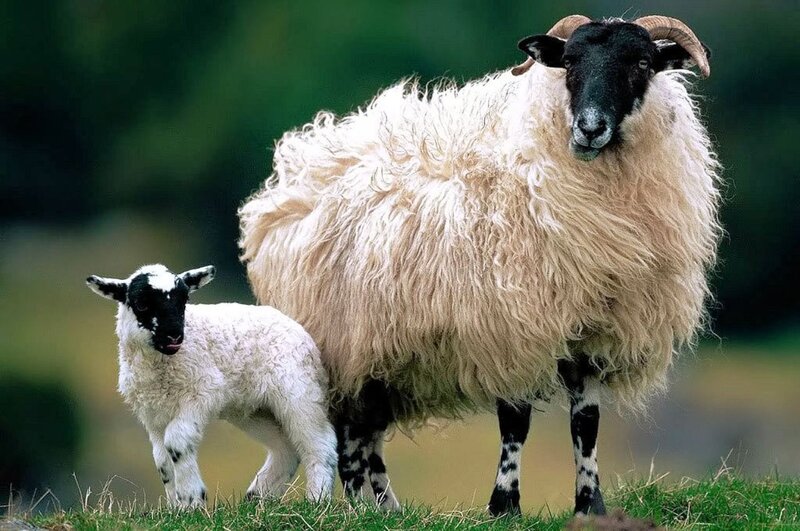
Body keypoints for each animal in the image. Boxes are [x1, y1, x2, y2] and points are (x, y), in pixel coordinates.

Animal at [85, 264, 338, 508]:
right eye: (141, 303)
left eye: (184, 300)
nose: (174, 335)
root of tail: (303, 333)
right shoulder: (152, 415)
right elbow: (162, 460)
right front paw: (175, 506)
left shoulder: (202, 392)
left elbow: (176, 442)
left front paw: (192, 500)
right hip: (255, 410)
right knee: (285, 448)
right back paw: (257, 499)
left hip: (298, 391)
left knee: (321, 444)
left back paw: (316, 500)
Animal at [238, 14, 721, 516]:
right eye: (569, 62)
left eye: (643, 63)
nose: (589, 128)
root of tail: (298, 164)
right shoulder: (508, 324)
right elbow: (515, 422)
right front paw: (505, 504)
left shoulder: (591, 333)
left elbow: (586, 424)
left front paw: (590, 506)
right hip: (346, 343)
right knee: (351, 433)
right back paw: (360, 507)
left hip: (382, 352)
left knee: (368, 432)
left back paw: (388, 507)